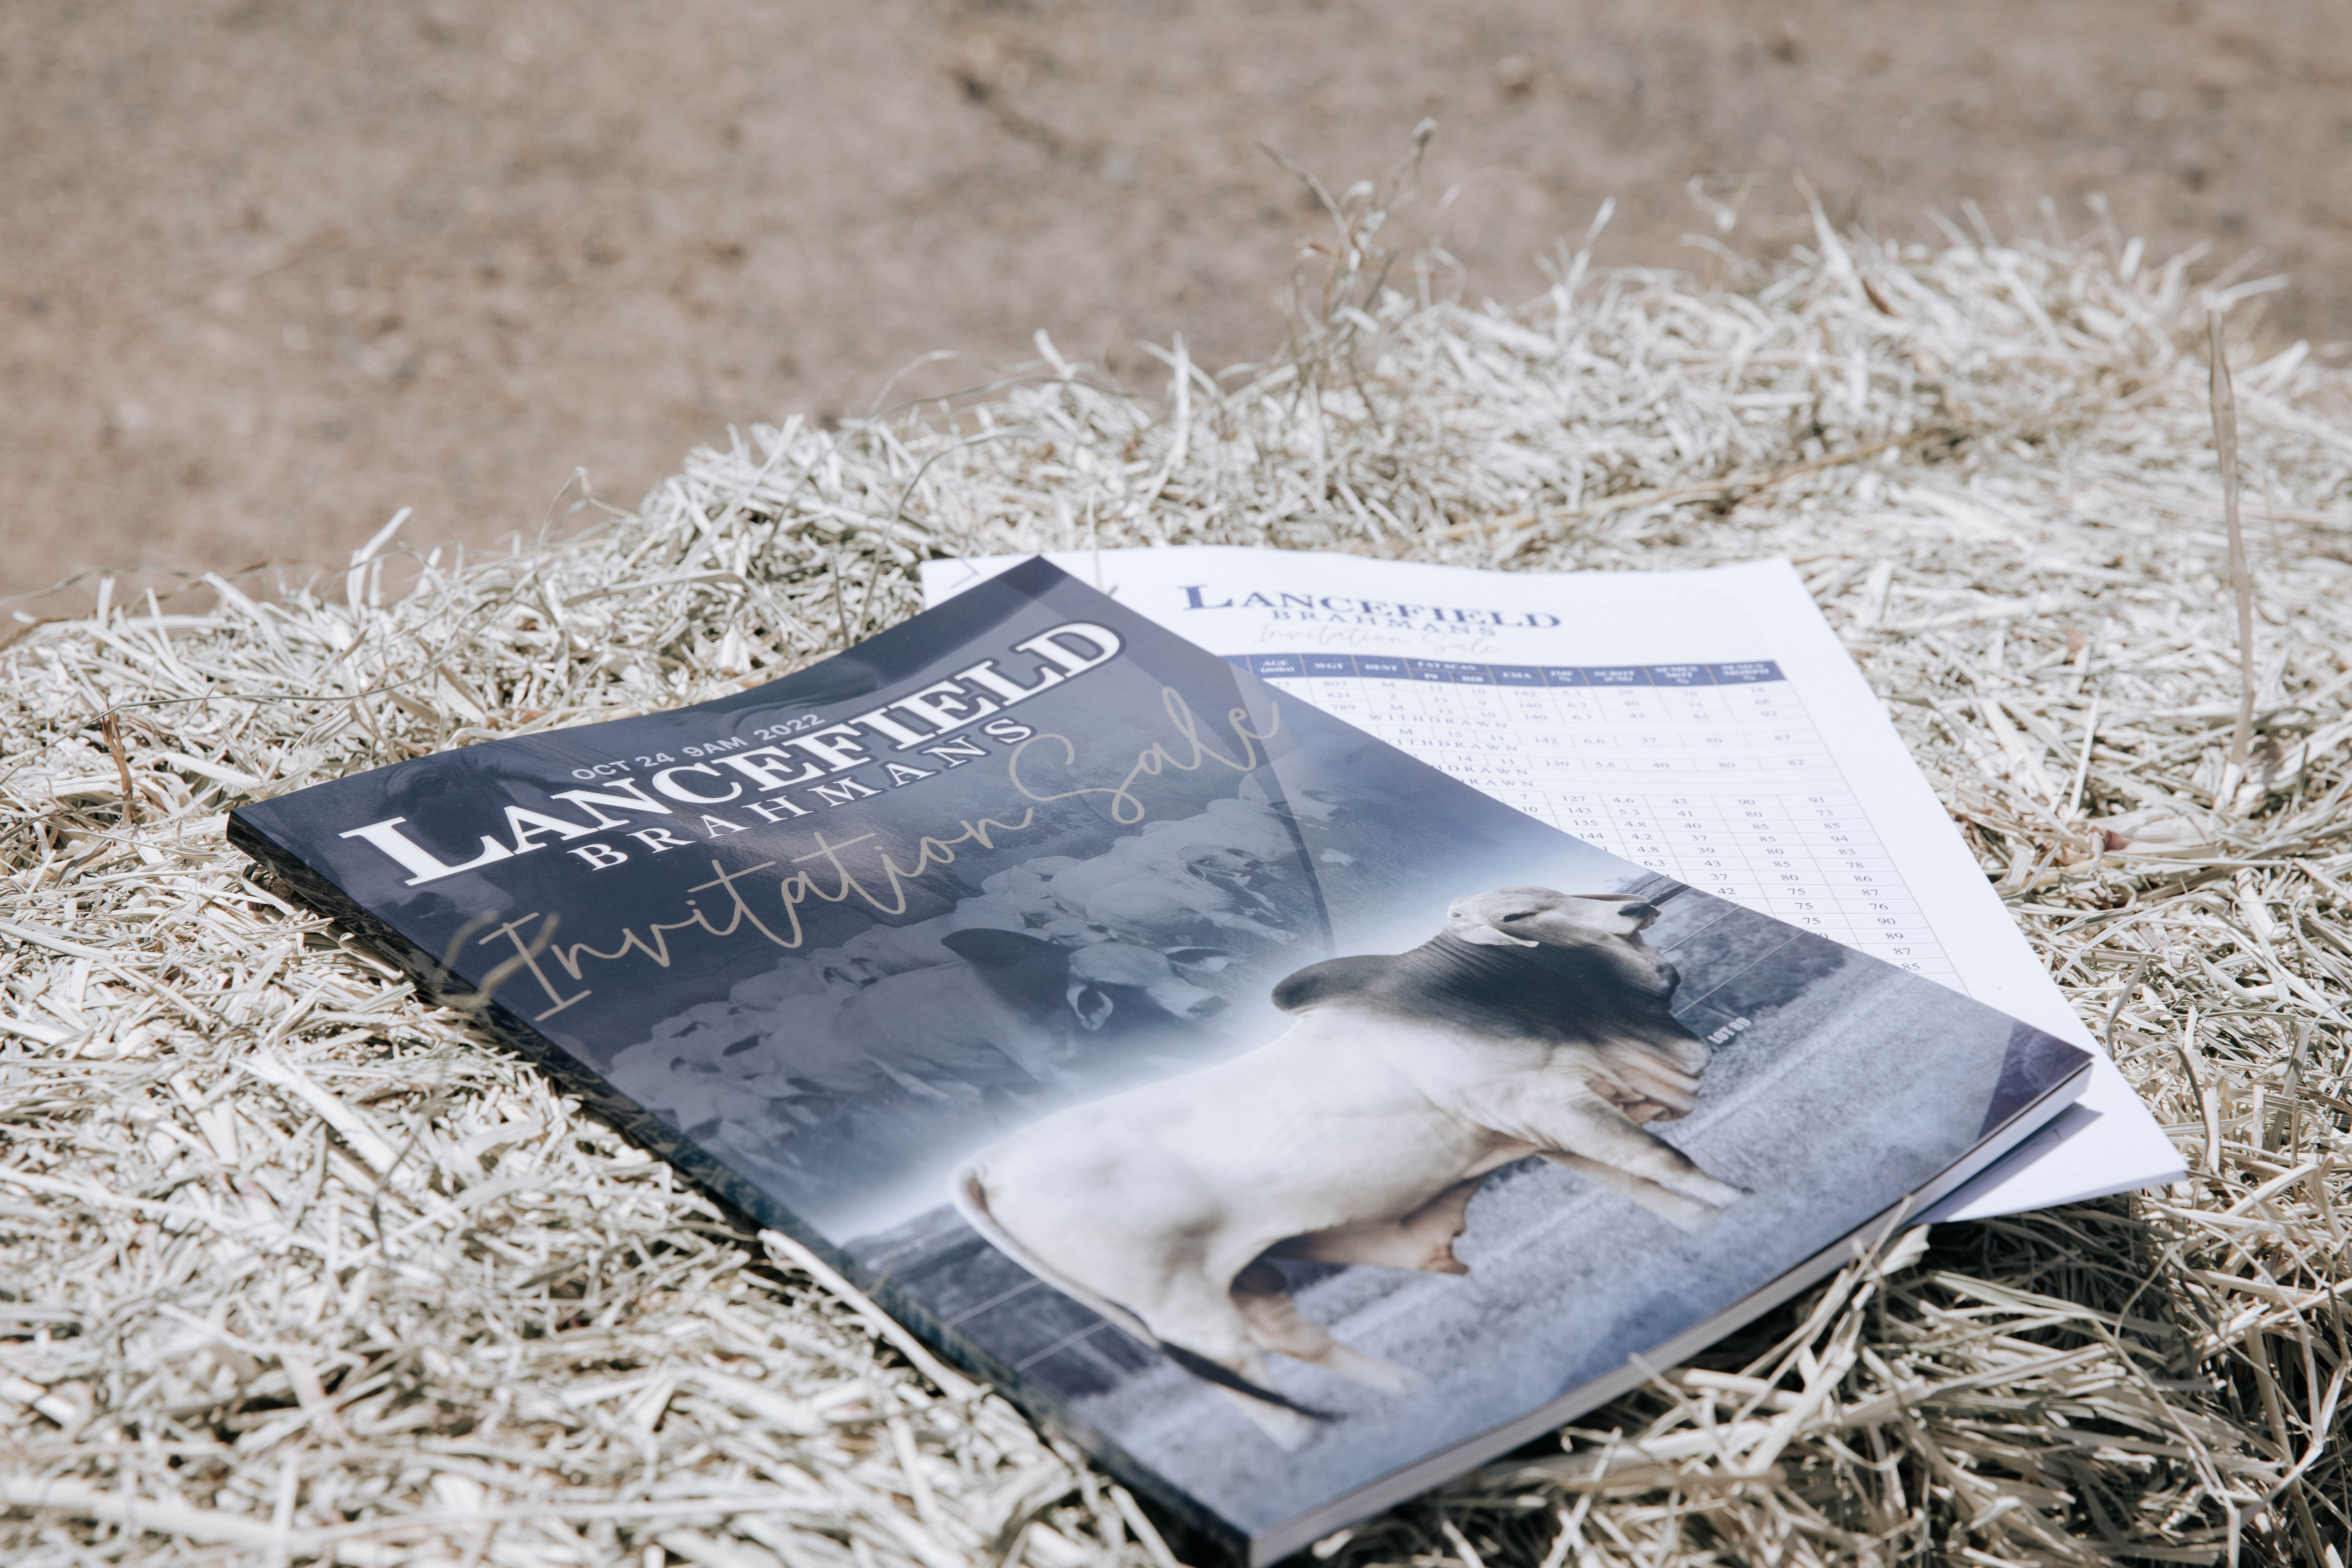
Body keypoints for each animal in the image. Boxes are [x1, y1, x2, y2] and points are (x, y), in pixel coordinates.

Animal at [952, 886, 1744, 1446]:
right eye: (1517, 912)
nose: (1634, 906)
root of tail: (989, 1162)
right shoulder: (1548, 1102)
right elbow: (1660, 1159)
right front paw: (1742, 1208)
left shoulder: (1545, 1125)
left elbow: (1641, 1185)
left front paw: (1709, 1229)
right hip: (1182, 1304)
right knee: (1254, 1391)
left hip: (1244, 1276)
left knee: (1300, 1343)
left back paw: (1411, 1405)